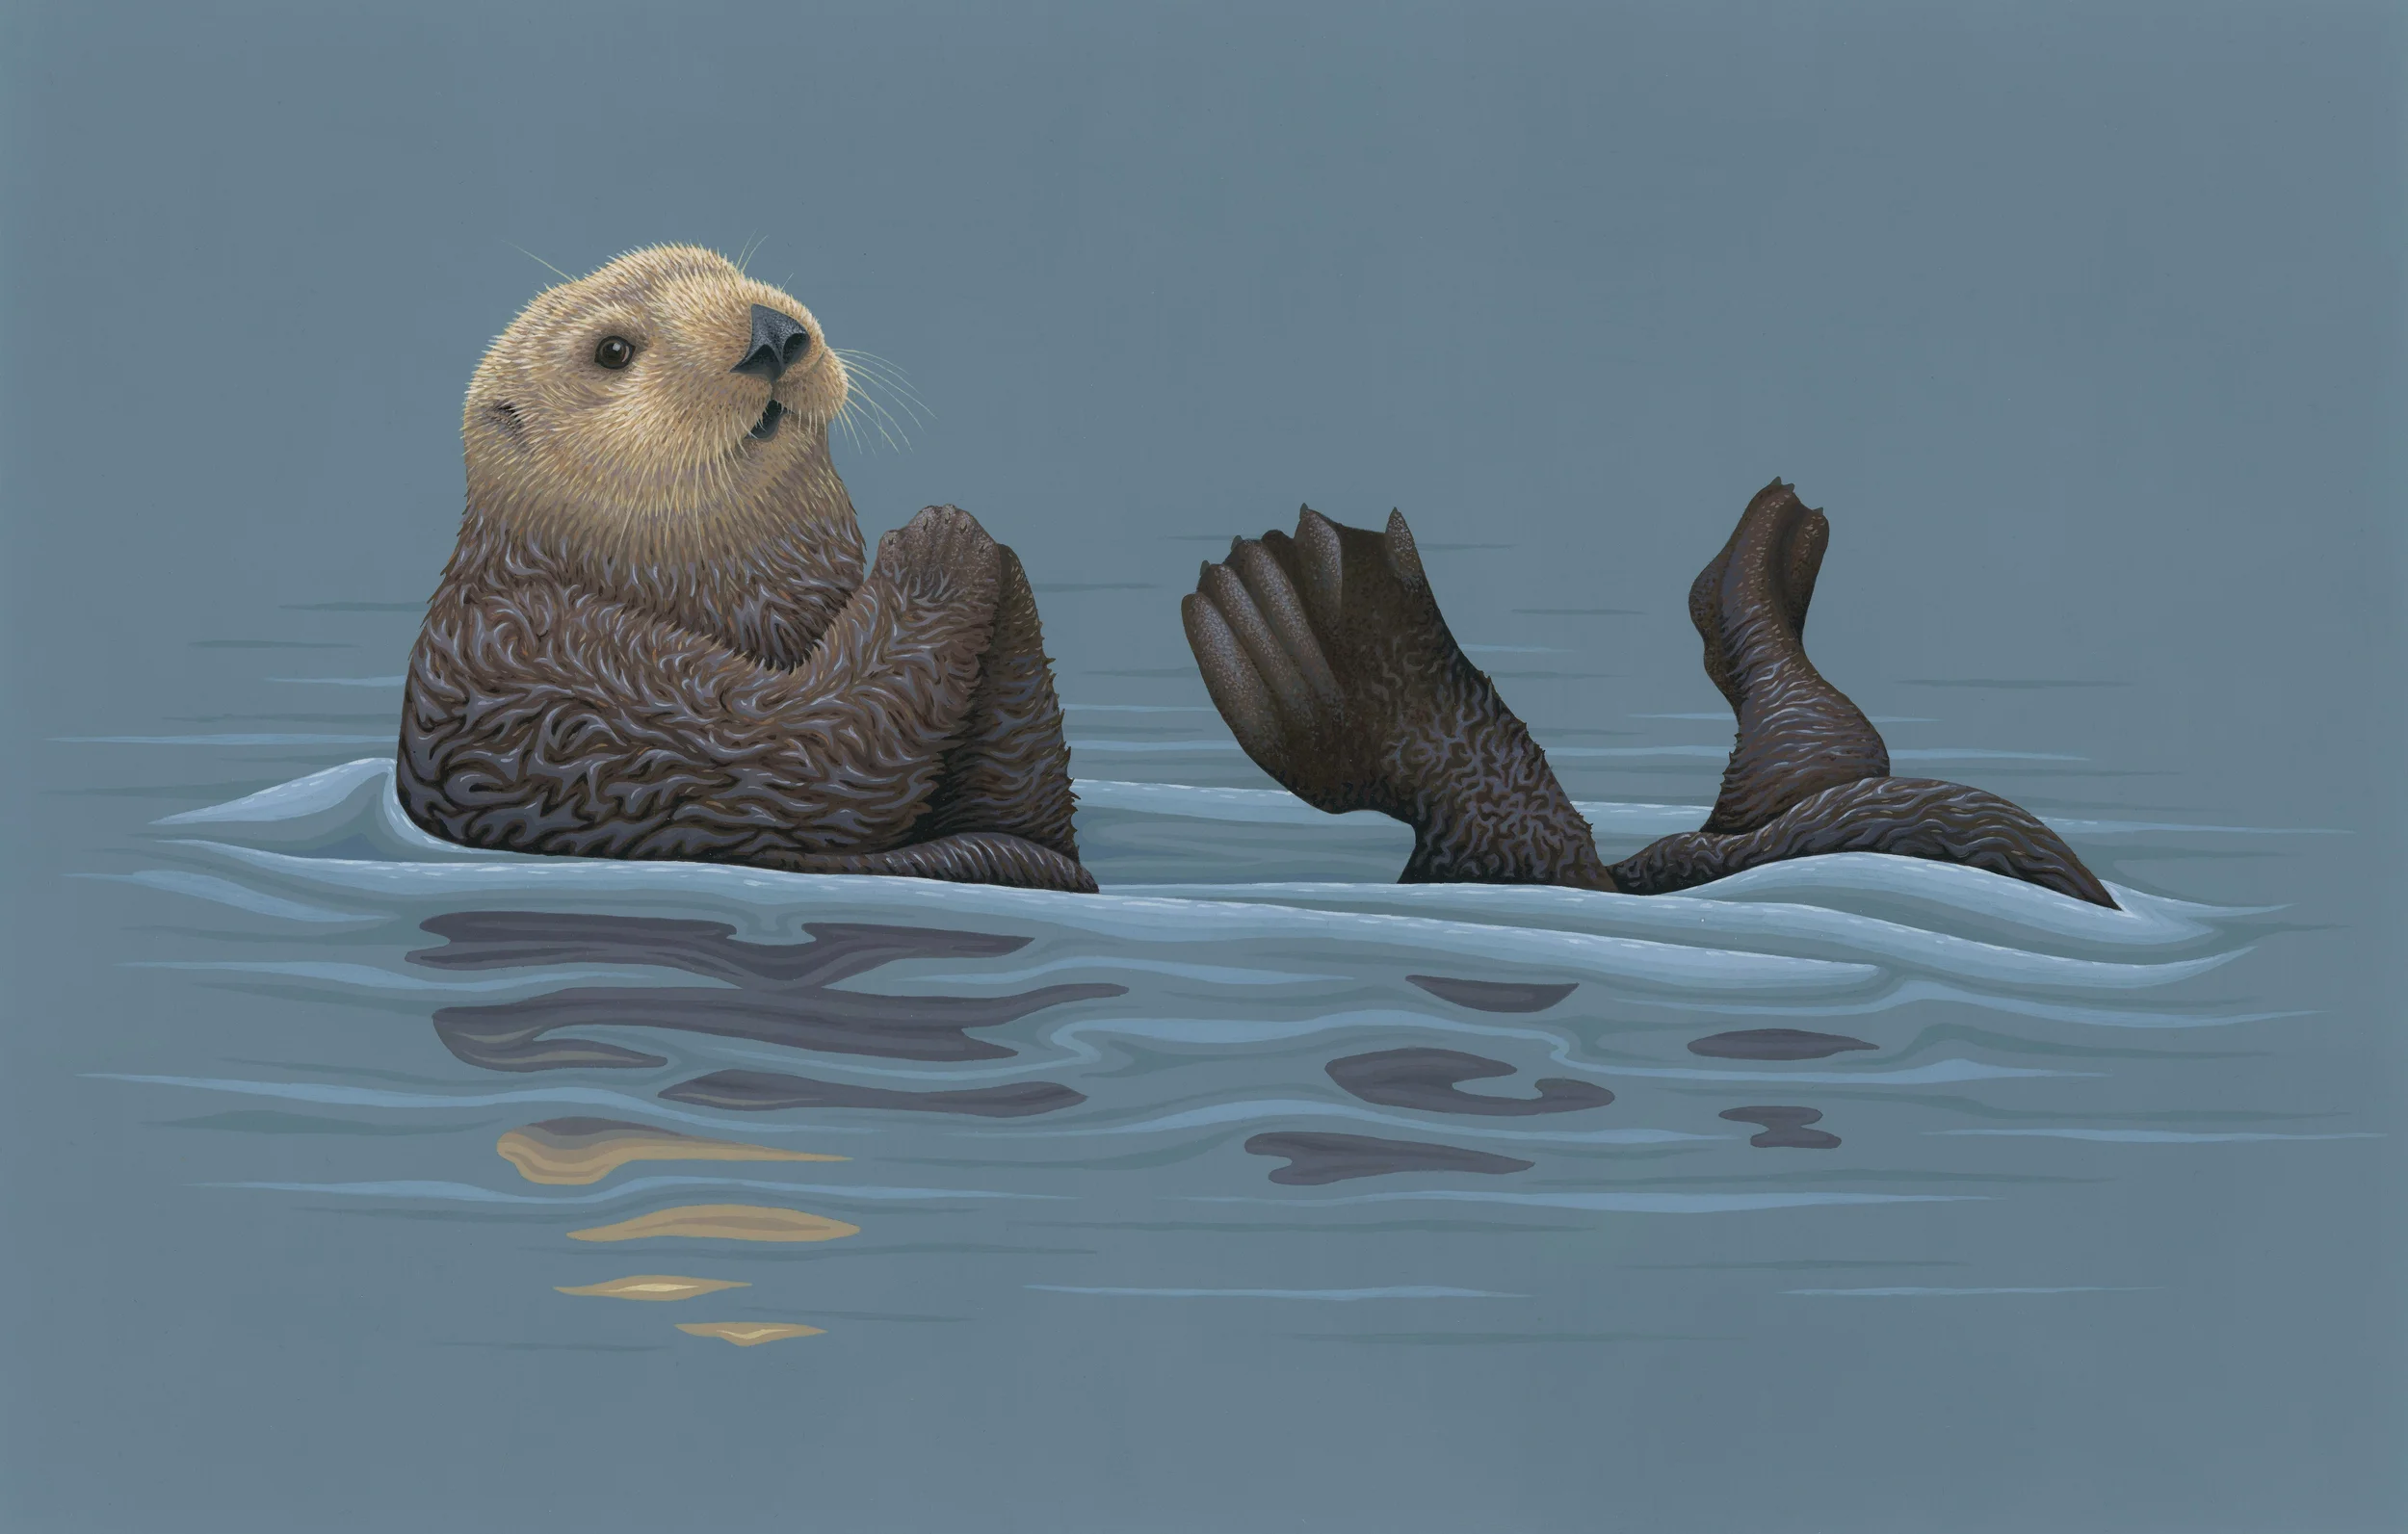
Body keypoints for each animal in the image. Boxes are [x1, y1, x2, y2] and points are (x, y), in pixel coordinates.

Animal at [399, 245, 1094, 893]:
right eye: (613, 350)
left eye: (727, 272)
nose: (772, 333)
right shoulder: (566, 666)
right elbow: (803, 758)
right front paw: (940, 545)